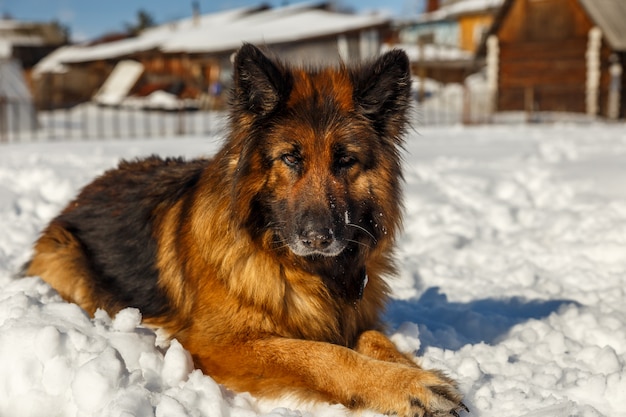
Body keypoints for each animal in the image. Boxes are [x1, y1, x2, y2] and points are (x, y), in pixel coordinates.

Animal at [24, 44, 464, 416]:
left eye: (345, 160)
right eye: (290, 158)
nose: (318, 238)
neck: (303, 268)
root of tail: (81, 194)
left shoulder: (354, 314)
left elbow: (377, 339)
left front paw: (409, 368)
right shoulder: (221, 344)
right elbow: (321, 354)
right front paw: (405, 385)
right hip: (71, 264)